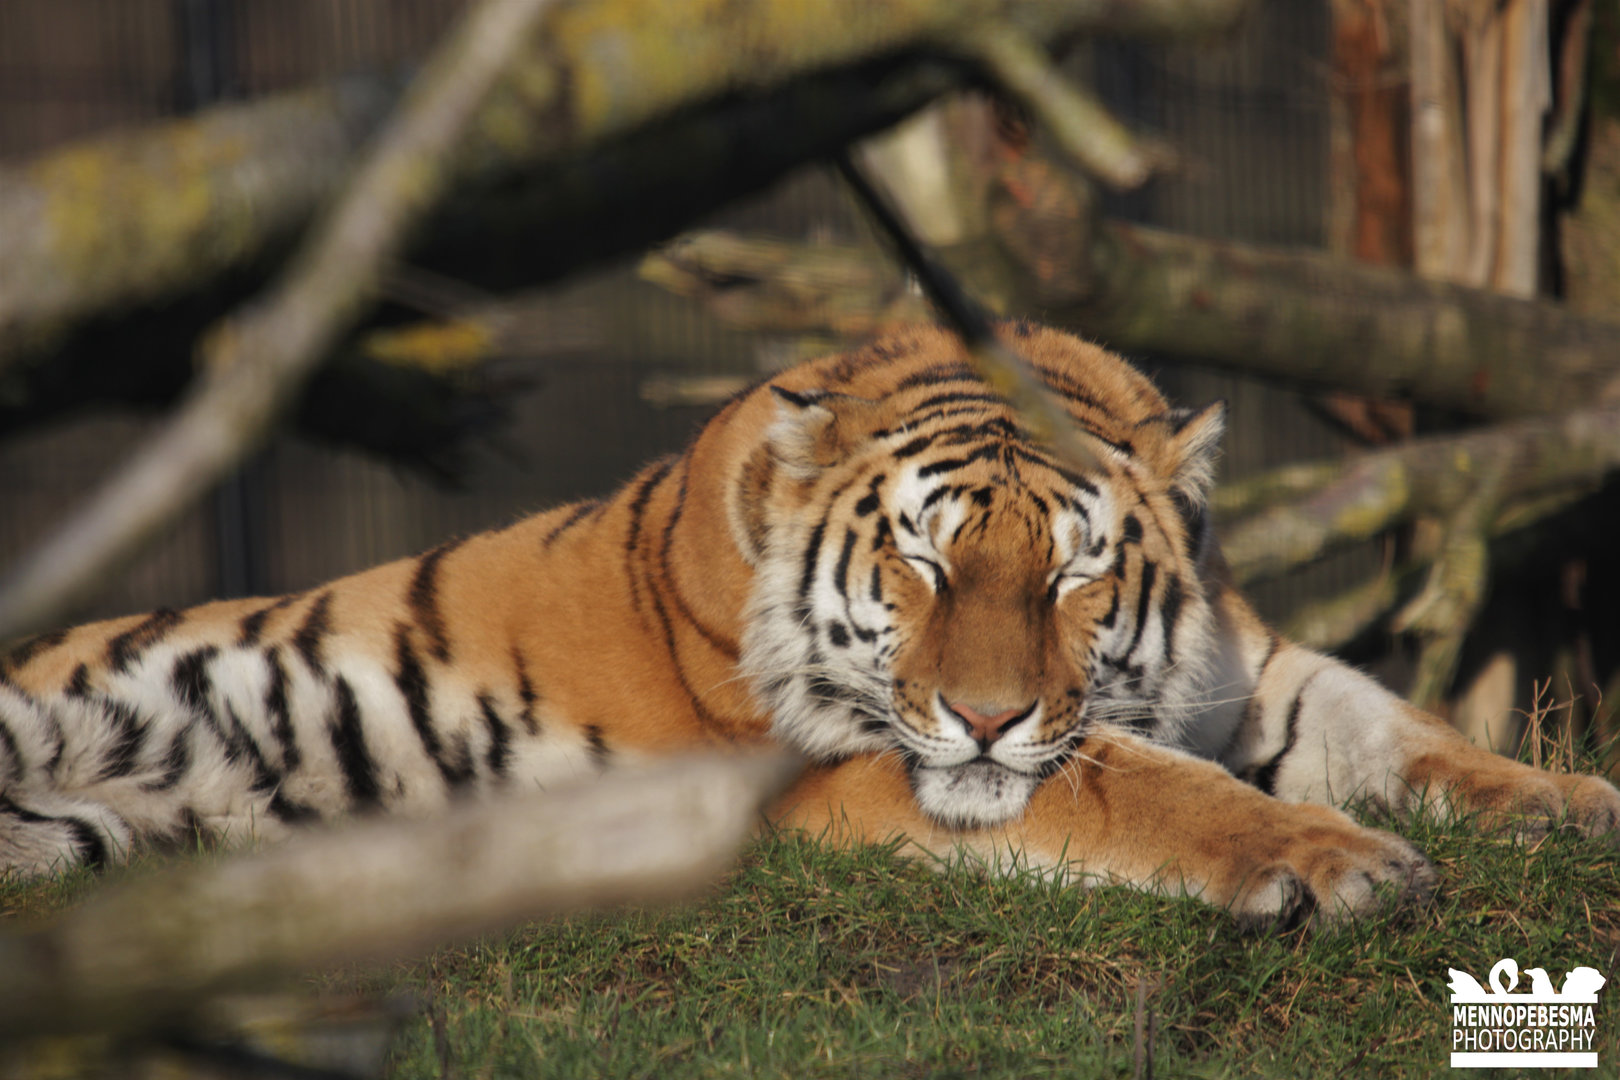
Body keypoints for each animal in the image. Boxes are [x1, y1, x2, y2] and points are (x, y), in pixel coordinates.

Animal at [2, 323, 1616, 926]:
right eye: (921, 561)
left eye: (1072, 578)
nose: (985, 716)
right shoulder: (856, 772)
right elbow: (1144, 788)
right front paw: (1339, 864)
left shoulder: (1255, 669)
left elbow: (1404, 730)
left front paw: (1566, 804)